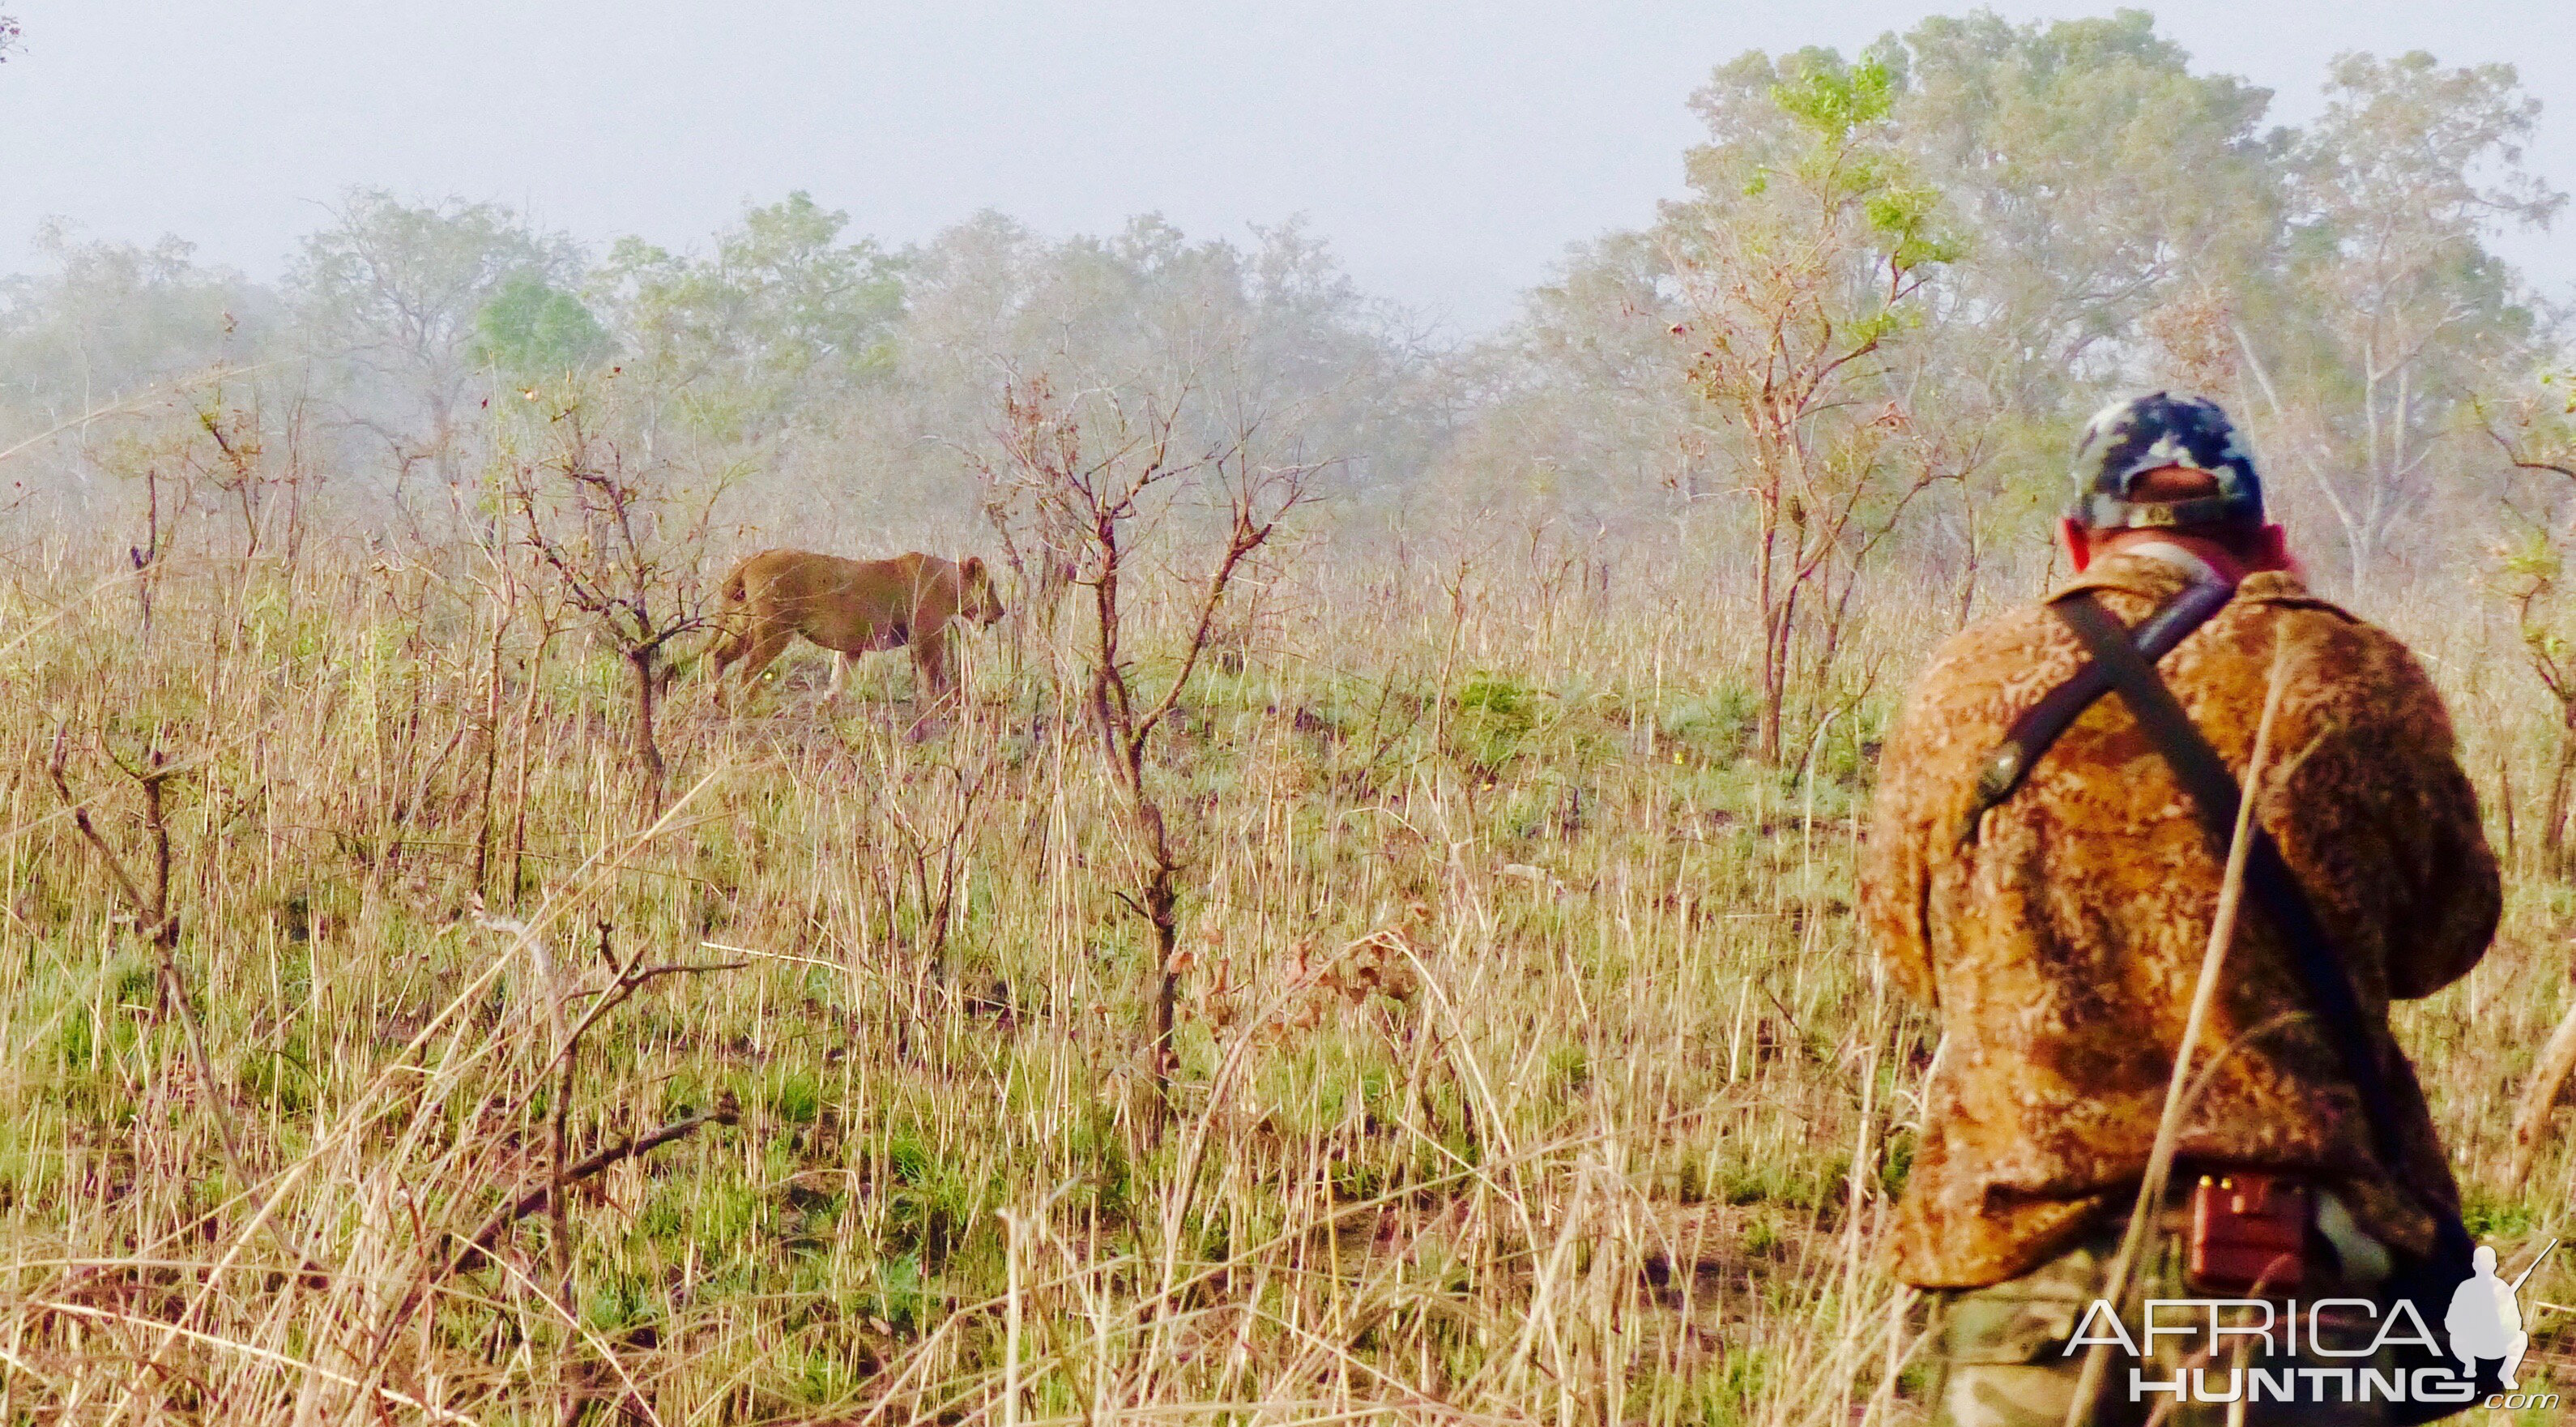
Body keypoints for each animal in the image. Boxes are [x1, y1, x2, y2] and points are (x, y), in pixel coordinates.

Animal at [710, 545, 999, 705]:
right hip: (774, 629)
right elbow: (934, 673)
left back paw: (718, 698)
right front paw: (944, 699)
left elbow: (841, 672)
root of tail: (753, 558)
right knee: (749, 670)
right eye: (991, 586)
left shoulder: (852, 644)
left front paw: (830, 701)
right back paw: (753, 703)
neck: (949, 583)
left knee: (718, 655)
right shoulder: (929, 637)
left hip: (742, 624)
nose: (1003, 611)